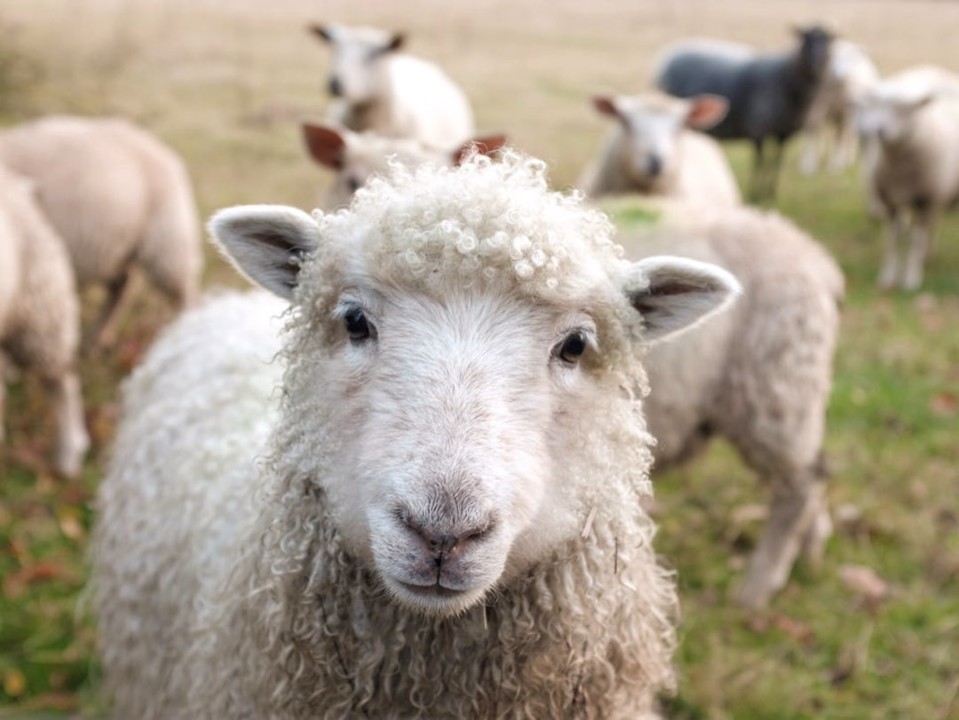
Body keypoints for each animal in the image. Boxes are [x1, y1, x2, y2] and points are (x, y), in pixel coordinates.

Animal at [0, 115, 202, 346]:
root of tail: (160, 148)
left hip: (168, 240)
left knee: (185, 293)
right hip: (119, 246)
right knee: (120, 287)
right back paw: (99, 337)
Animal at [609, 198, 843, 608]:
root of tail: (818, 259)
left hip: (774, 389)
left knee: (802, 485)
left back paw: (757, 588)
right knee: (814, 471)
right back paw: (812, 549)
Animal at [654, 26, 835, 200]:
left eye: (828, 41)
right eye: (806, 39)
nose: (816, 64)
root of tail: (669, 55)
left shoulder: (783, 134)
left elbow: (776, 161)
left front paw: (771, 193)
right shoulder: (758, 130)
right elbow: (760, 162)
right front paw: (756, 193)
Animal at [798, 39, 879, 174]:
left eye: (851, 58)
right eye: (833, 57)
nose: (837, 73)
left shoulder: (842, 112)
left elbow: (839, 136)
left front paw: (834, 165)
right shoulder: (819, 105)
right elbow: (815, 128)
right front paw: (809, 165)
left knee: (848, 135)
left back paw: (842, 161)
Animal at [855, 66, 959, 290]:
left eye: (905, 109)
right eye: (878, 104)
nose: (880, 130)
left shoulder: (926, 201)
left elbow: (916, 241)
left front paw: (911, 278)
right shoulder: (891, 203)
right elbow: (893, 241)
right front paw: (888, 277)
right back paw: (928, 255)